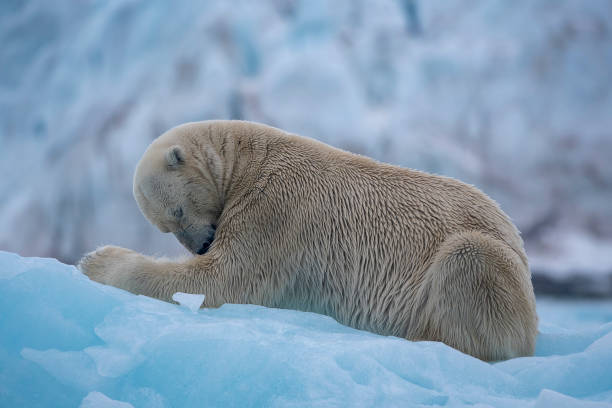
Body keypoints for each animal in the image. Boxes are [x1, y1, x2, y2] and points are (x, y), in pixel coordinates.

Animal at [79, 120, 536, 360]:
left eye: (175, 212)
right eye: (166, 228)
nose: (202, 244)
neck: (247, 158)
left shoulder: (274, 207)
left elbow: (222, 280)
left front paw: (96, 259)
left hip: (490, 267)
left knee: (470, 260)